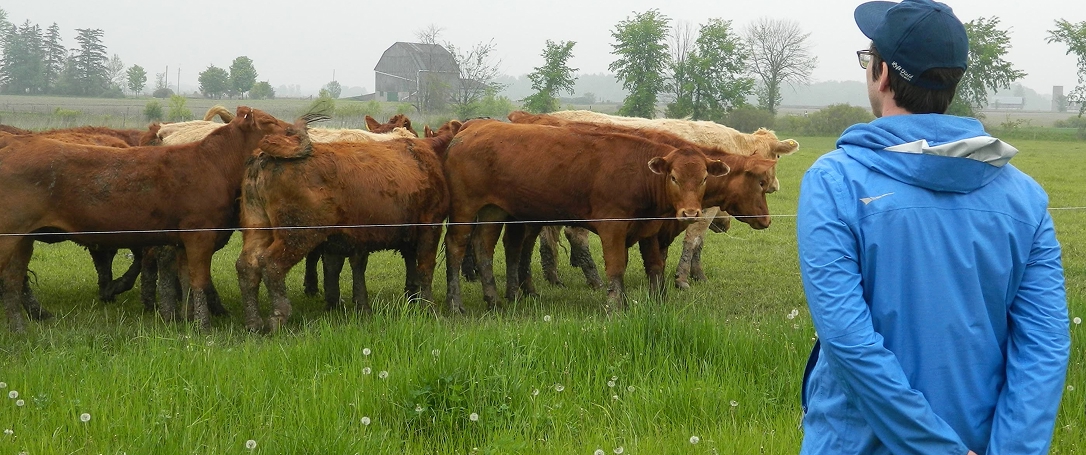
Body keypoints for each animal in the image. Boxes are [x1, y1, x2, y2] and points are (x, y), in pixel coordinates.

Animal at [0, 106, 293, 332]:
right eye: (269, 122)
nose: (294, 130)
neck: (212, 164)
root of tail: (15, 143)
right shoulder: (200, 235)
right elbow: (199, 280)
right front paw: (204, 326)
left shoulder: (182, 242)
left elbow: (186, 280)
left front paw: (187, 319)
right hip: (9, 238)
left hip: (23, 241)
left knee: (13, 281)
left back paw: (20, 328)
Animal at [236, 119, 459, 332]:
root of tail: (264, 155)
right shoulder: (430, 224)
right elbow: (425, 266)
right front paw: (428, 307)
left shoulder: (356, 233)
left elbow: (348, 266)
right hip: (297, 234)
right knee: (271, 264)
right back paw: (278, 316)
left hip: (258, 227)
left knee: (247, 265)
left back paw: (253, 322)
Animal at [442, 120, 730, 314]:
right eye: (673, 177)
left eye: (704, 178)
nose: (690, 212)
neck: (637, 171)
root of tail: (473, 128)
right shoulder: (612, 226)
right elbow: (616, 266)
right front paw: (615, 304)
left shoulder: (648, 229)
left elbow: (655, 266)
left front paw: (654, 300)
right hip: (465, 208)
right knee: (456, 246)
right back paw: (455, 303)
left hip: (493, 210)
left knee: (483, 247)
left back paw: (493, 299)